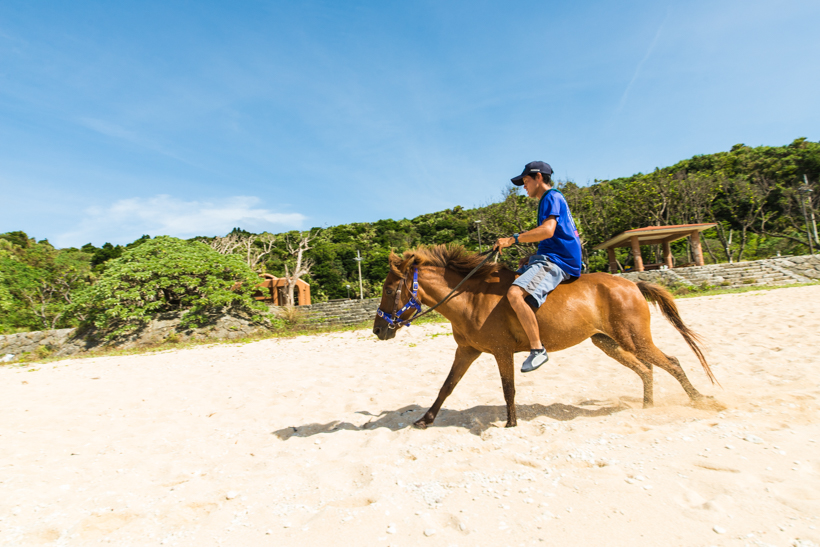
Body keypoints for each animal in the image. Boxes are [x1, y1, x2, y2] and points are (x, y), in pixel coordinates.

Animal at [372, 244, 717, 429]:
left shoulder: (501, 351)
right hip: (608, 342)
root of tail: (632, 284)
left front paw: (511, 423)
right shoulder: (467, 351)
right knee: (646, 369)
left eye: (389, 290)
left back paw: (701, 401)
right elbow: (447, 386)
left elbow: (508, 388)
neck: (470, 297)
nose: (377, 330)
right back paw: (648, 407)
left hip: (634, 339)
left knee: (671, 362)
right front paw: (426, 419)